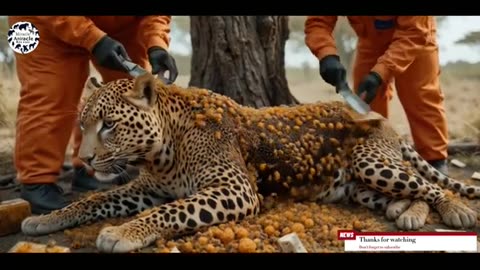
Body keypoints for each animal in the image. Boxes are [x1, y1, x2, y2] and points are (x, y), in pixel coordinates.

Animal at [21, 73, 480, 252]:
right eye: (83, 125)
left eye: (110, 125)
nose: (85, 160)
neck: (162, 150)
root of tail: (377, 116)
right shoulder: (146, 188)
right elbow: (93, 201)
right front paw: (46, 218)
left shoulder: (235, 189)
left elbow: (171, 211)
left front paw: (122, 232)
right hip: (358, 187)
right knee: (402, 192)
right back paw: (407, 213)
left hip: (371, 161)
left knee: (427, 185)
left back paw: (454, 211)